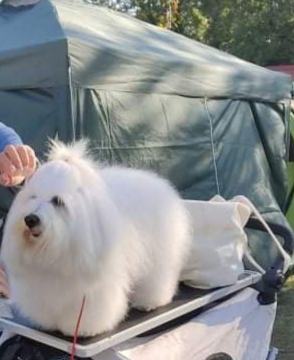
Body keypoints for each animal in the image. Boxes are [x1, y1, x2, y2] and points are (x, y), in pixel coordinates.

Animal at [1, 141, 192, 338]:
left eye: (57, 201)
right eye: (33, 197)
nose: (30, 219)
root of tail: (160, 185)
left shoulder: (94, 288)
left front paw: (84, 329)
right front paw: (48, 323)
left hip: (158, 256)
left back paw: (150, 302)